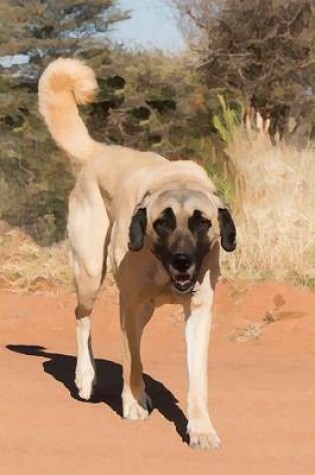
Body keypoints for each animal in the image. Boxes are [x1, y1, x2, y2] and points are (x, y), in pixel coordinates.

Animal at [38, 57, 236, 452]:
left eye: (201, 223)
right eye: (163, 222)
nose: (182, 261)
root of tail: (101, 152)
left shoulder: (198, 313)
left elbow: (197, 382)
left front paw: (201, 428)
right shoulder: (129, 305)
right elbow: (132, 361)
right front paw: (132, 403)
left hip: (138, 307)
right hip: (90, 274)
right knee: (82, 316)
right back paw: (85, 376)